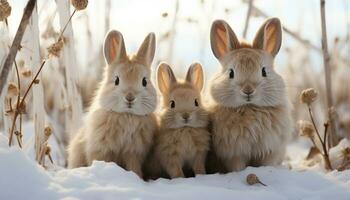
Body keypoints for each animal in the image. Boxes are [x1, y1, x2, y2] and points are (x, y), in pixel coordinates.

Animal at [67, 30, 158, 178]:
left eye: (144, 81)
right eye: (116, 80)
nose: (130, 97)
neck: (127, 115)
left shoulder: (133, 153)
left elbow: (133, 166)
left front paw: (136, 177)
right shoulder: (102, 149)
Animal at [208, 18, 292, 173]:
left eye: (264, 71)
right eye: (231, 73)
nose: (248, 90)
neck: (249, 107)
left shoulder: (271, 150)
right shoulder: (234, 154)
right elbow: (237, 166)